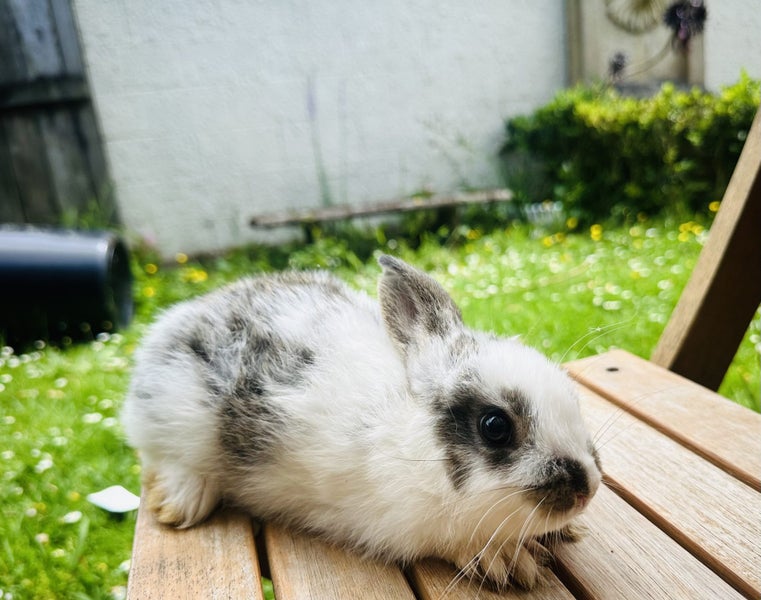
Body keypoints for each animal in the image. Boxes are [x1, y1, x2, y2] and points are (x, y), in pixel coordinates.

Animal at [122, 254, 602, 590]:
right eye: (495, 426)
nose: (587, 488)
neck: (414, 443)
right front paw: (508, 561)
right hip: (176, 422)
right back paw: (181, 501)